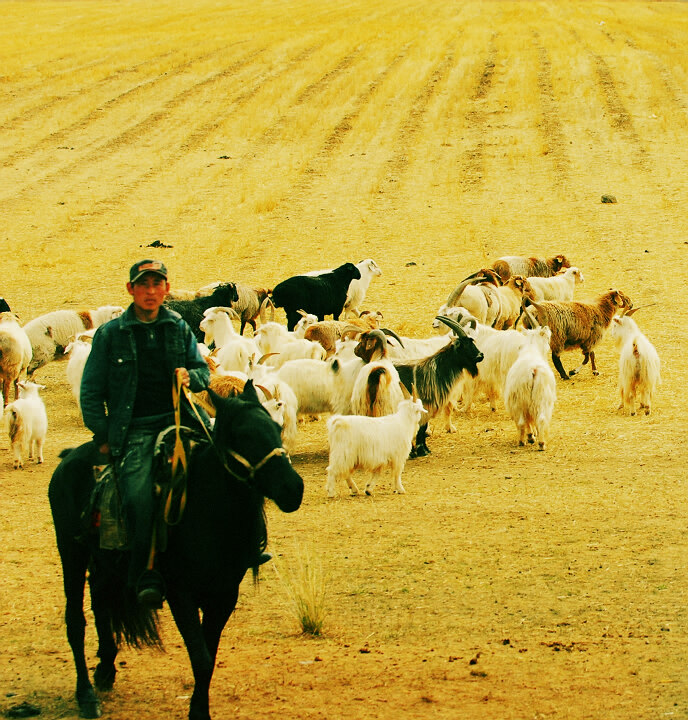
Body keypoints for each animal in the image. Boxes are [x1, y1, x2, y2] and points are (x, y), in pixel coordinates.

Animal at [48, 382, 304, 720]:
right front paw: (199, 712)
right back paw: (86, 695)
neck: (206, 510)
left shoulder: (224, 595)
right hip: (71, 553)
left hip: (104, 564)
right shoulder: (180, 594)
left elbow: (208, 655)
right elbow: (201, 657)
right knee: (76, 621)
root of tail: (69, 458)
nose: (293, 489)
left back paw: (105, 670)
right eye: (242, 435)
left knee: (101, 603)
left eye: (276, 428)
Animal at [392, 316, 484, 456]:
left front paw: (424, 449)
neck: (435, 370)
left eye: (472, 341)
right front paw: (421, 451)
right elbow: (421, 427)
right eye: (464, 345)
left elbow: (423, 427)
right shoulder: (425, 405)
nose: (481, 355)